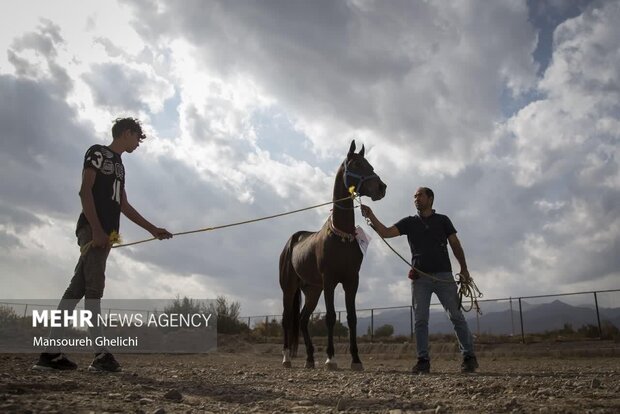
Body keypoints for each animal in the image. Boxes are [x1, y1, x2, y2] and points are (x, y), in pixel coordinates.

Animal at [280, 141, 386, 370]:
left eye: (370, 164)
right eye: (356, 164)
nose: (381, 188)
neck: (342, 236)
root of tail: (292, 241)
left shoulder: (351, 280)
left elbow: (352, 317)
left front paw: (356, 359)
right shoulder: (329, 281)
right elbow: (330, 317)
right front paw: (331, 358)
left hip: (312, 290)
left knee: (302, 319)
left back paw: (310, 359)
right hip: (290, 288)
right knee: (287, 318)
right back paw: (286, 358)